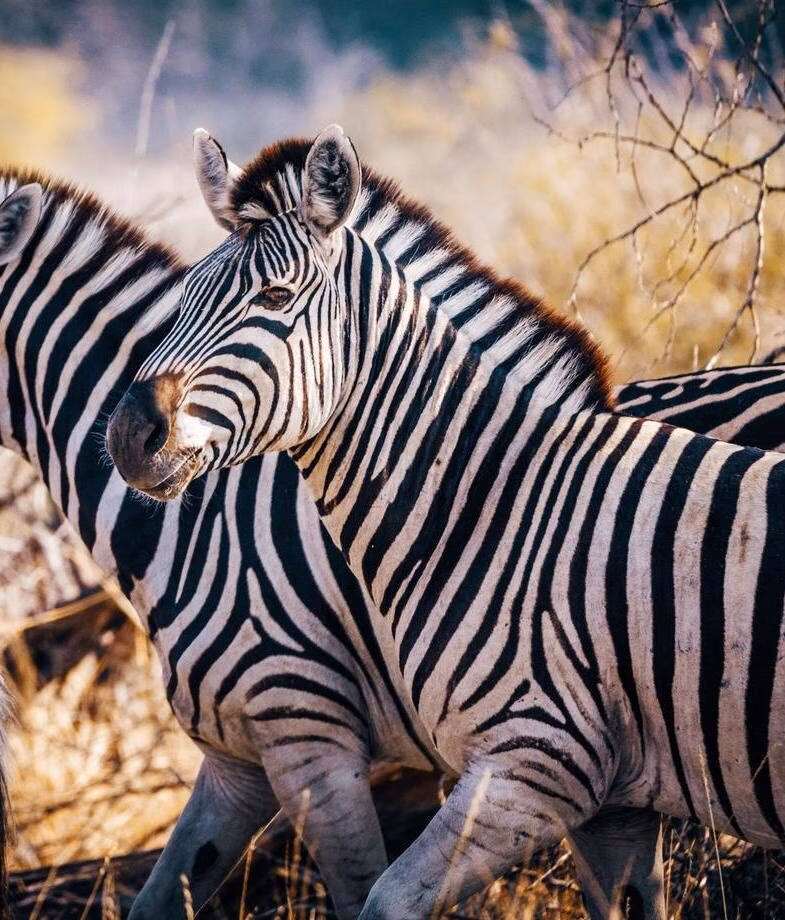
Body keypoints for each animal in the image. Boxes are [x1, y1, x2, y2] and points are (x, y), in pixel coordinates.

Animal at [2, 159, 784, 920]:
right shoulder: (237, 761)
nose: (128, 437)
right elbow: (164, 895)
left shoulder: (310, 730)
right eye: (182, 298)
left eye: (276, 299)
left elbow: (359, 892)